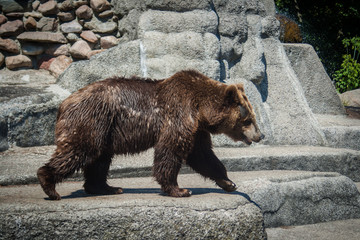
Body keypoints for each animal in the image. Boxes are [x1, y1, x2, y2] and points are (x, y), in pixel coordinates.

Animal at [37, 70, 264, 201]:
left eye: (253, 116)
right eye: (248, 119)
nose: (260, 136)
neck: (201, 110)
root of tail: (64, 103)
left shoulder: (197, 130)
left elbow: (203, 156)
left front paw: (228, 182)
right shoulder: (179, 114)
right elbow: (170, 150)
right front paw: (180, 190)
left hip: (104, 129)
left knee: (99, 159)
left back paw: (107, 187)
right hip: (92, 119)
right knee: (80, 150)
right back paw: (49, 185)